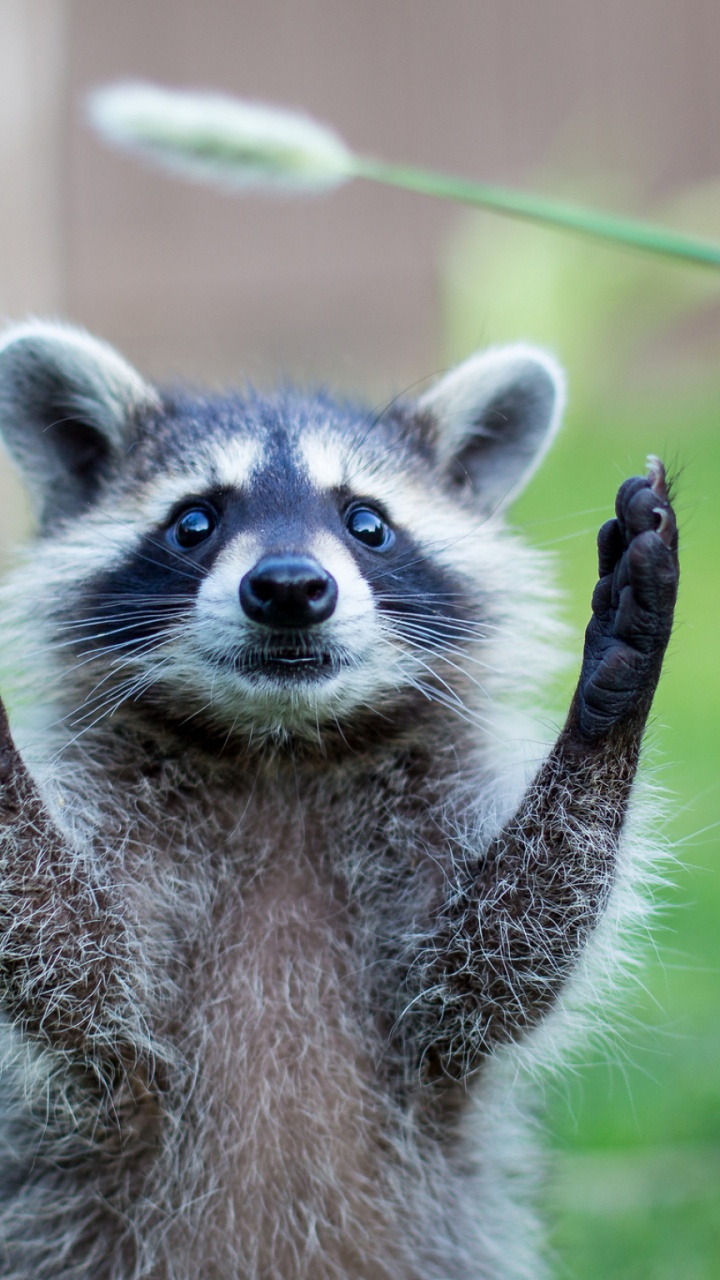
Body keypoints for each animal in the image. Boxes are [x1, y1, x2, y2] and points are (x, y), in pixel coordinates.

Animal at [0, 322, 678, 1280]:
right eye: (195, 521)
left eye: (368, 523)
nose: (288, 586)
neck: (281, 750)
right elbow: (71, 955)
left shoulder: (431, 878)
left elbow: (502, 953)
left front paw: (609, 707)